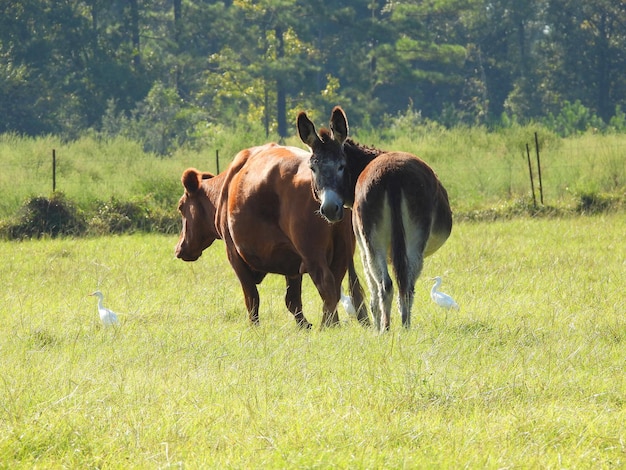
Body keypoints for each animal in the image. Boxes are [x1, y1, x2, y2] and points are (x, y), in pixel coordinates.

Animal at [173, 141, 368, 328]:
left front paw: (254, 327)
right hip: (341, 252)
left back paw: (328, 326)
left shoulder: (234, 254)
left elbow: (252, 298)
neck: (226, 189)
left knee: (326, 285)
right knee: (335, 286)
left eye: (181, 206)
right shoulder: (292, 260)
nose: (178, 248)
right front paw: (304, 326)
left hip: (312, 252)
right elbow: (292, 300)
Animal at [294, 108, 450, 332]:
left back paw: (385, 329)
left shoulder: (362, 245)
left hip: (374, 240)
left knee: (386, 284)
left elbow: (372, 285)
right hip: (412, 240)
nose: (330, 209)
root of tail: (392, 174)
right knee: (405, 285)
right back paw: (403, 327)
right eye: (312, 169)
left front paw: (376, 325)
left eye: (341, 166)